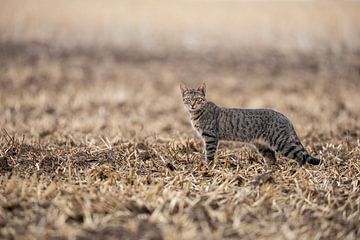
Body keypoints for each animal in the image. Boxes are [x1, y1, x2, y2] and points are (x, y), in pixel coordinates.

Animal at [180, 82, 320, 165]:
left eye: (198, 99)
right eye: (188, 99)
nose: (192, 105)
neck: (196, 114)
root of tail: (284, 116)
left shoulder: (210, 137)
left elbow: (209, 155)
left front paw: (208, 167)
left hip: (282, 142)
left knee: (300, 156)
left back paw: (297, 171)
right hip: (263, 146)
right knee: (273, 160)